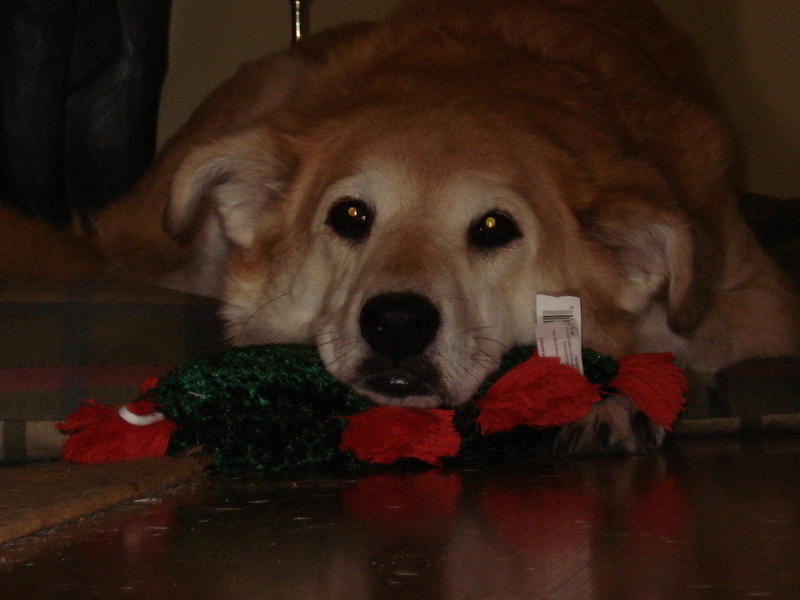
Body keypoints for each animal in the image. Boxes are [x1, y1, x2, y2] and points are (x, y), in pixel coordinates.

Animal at [1, 0, 800, 452]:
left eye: (495, 228)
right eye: (350, 215)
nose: (395, 324)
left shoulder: (759, 301)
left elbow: (678, 343)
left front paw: (621, 394)